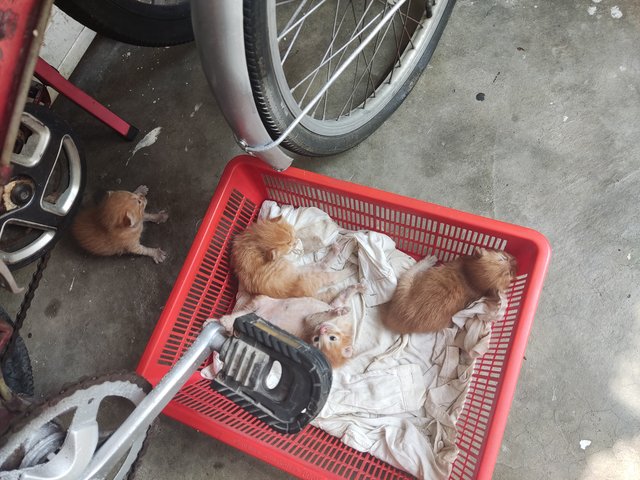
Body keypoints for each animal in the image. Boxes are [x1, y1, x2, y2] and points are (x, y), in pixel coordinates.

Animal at [384, 248, 516, 334]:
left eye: (510, 273)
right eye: (503, 258)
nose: (516, 261)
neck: (470, 278)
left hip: (406, 282)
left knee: (414, 269)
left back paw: (428, 261)